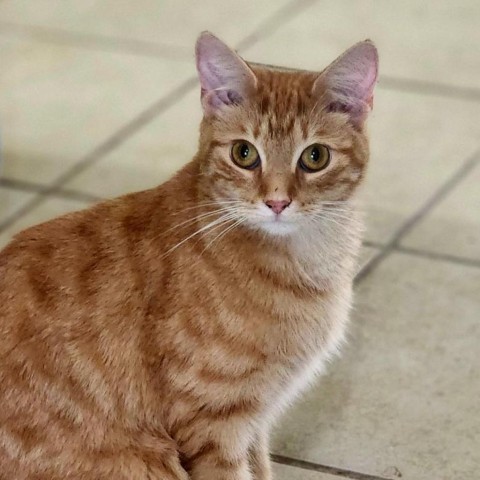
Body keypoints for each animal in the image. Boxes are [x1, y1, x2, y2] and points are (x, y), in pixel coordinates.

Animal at [0, 31, 378, 478]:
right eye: (244, 154)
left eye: (315, 157)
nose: (277, 202)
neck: (305, 257)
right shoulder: (213, 423)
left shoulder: (255, 422)